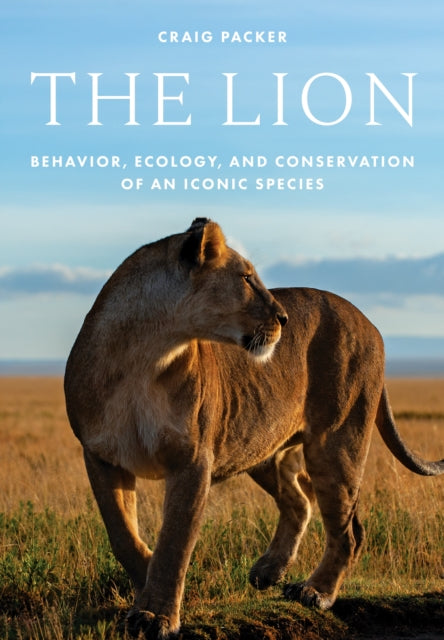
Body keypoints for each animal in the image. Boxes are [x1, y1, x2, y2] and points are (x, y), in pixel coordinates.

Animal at [64, 218, 444, 639]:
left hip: (336, 442)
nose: (284, 319)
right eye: (246, 277)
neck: (145, 356)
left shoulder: (192, 461)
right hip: (260, 448)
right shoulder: (101, 455)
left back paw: (316, 592)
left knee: (347, 531)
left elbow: (175, 541)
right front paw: (147, 589)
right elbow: (123, 536)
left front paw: (156, 614)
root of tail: (370, 323)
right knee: (300, 500)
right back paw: (269, 571)